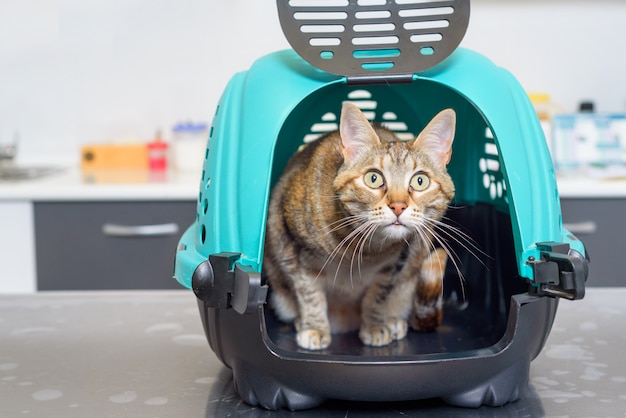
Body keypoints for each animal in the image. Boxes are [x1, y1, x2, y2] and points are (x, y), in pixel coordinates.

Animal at [262, 102, 454, 350]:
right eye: (374, 178)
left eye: (420, 181)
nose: (398, 206)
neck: (366, 250)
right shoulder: (292, 248)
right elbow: (309, 294)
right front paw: (314, 327)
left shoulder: (392, 266)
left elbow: (378, 295)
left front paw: (374, 325)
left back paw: (392, 320)